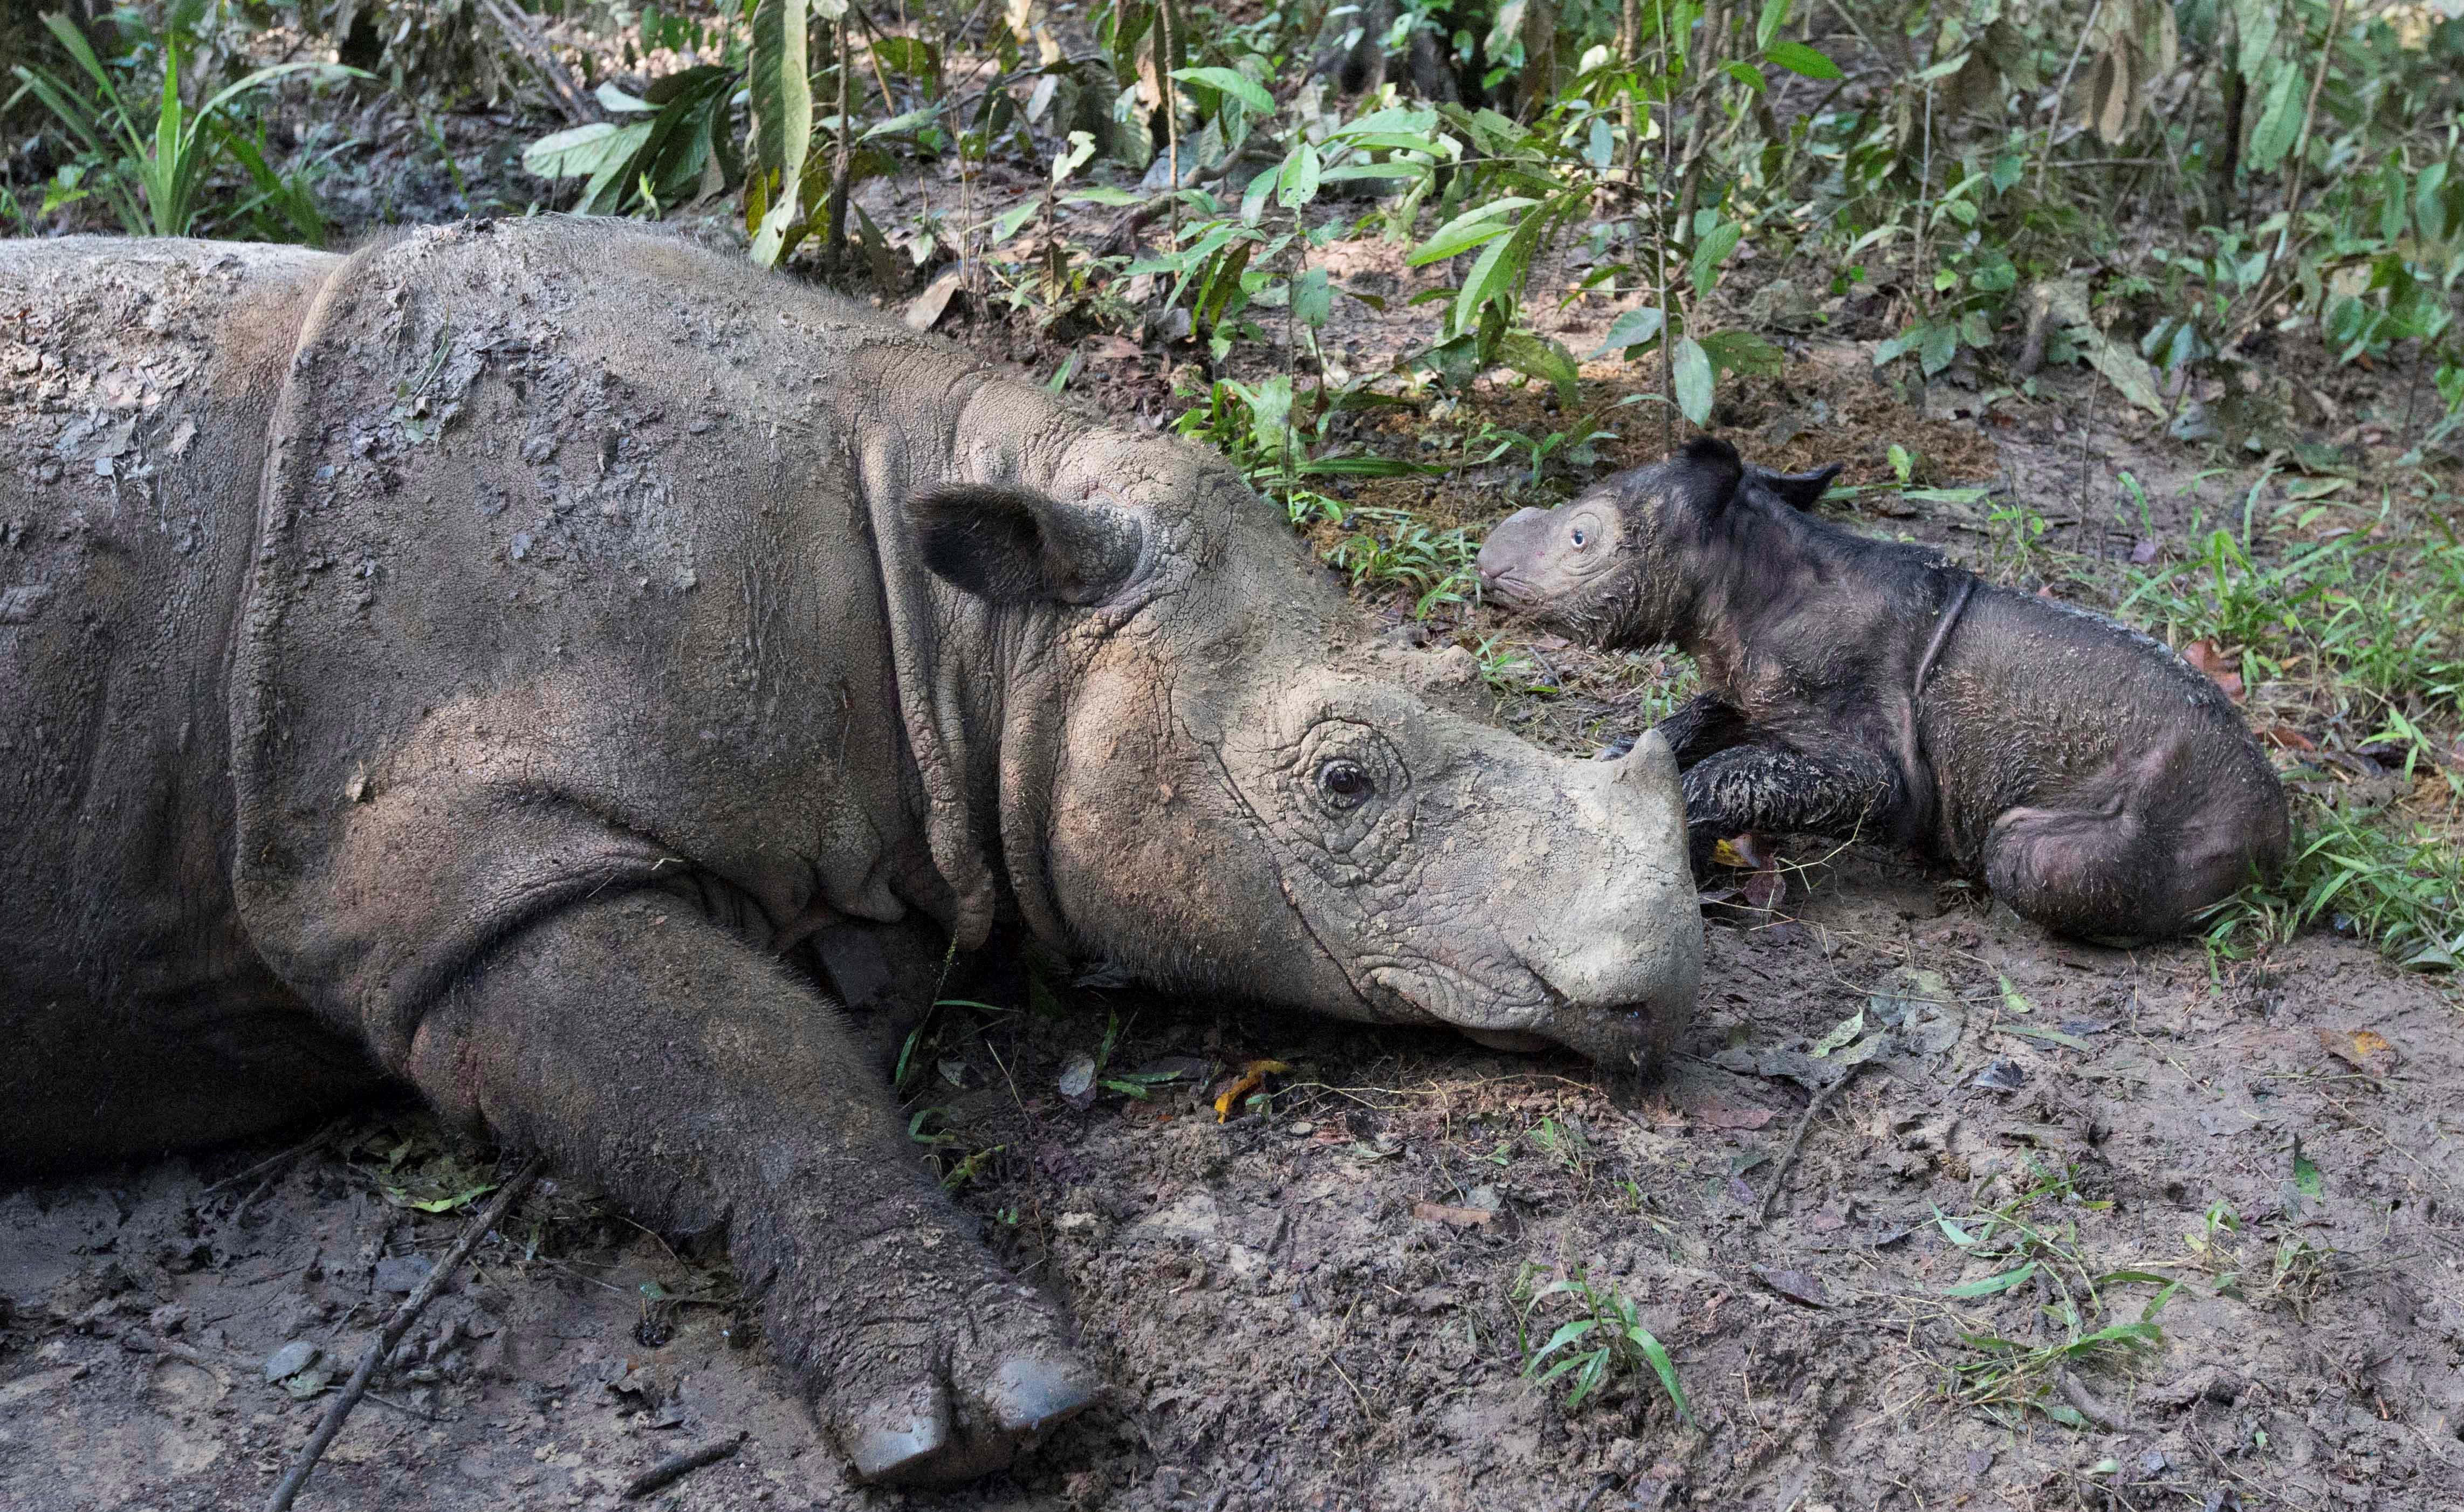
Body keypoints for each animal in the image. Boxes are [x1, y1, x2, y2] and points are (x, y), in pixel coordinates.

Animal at [0, 220, 1699, 1485]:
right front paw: (986, 1411)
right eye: (1345, 781)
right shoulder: (450, 877)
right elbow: (745, 1060)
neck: (952, 620)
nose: (1663, 970)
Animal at [1475, 437, 2288, 942]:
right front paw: (1616, 764)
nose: (1484, 564)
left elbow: (1730, 772)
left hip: (2166, 814)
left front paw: (1679, 847)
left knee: (2025, 859)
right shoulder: (1751, 688)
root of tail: (2278, 828)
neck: (1742, 570)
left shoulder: (1884, 774)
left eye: (1581, 538)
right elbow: (1700, 722)